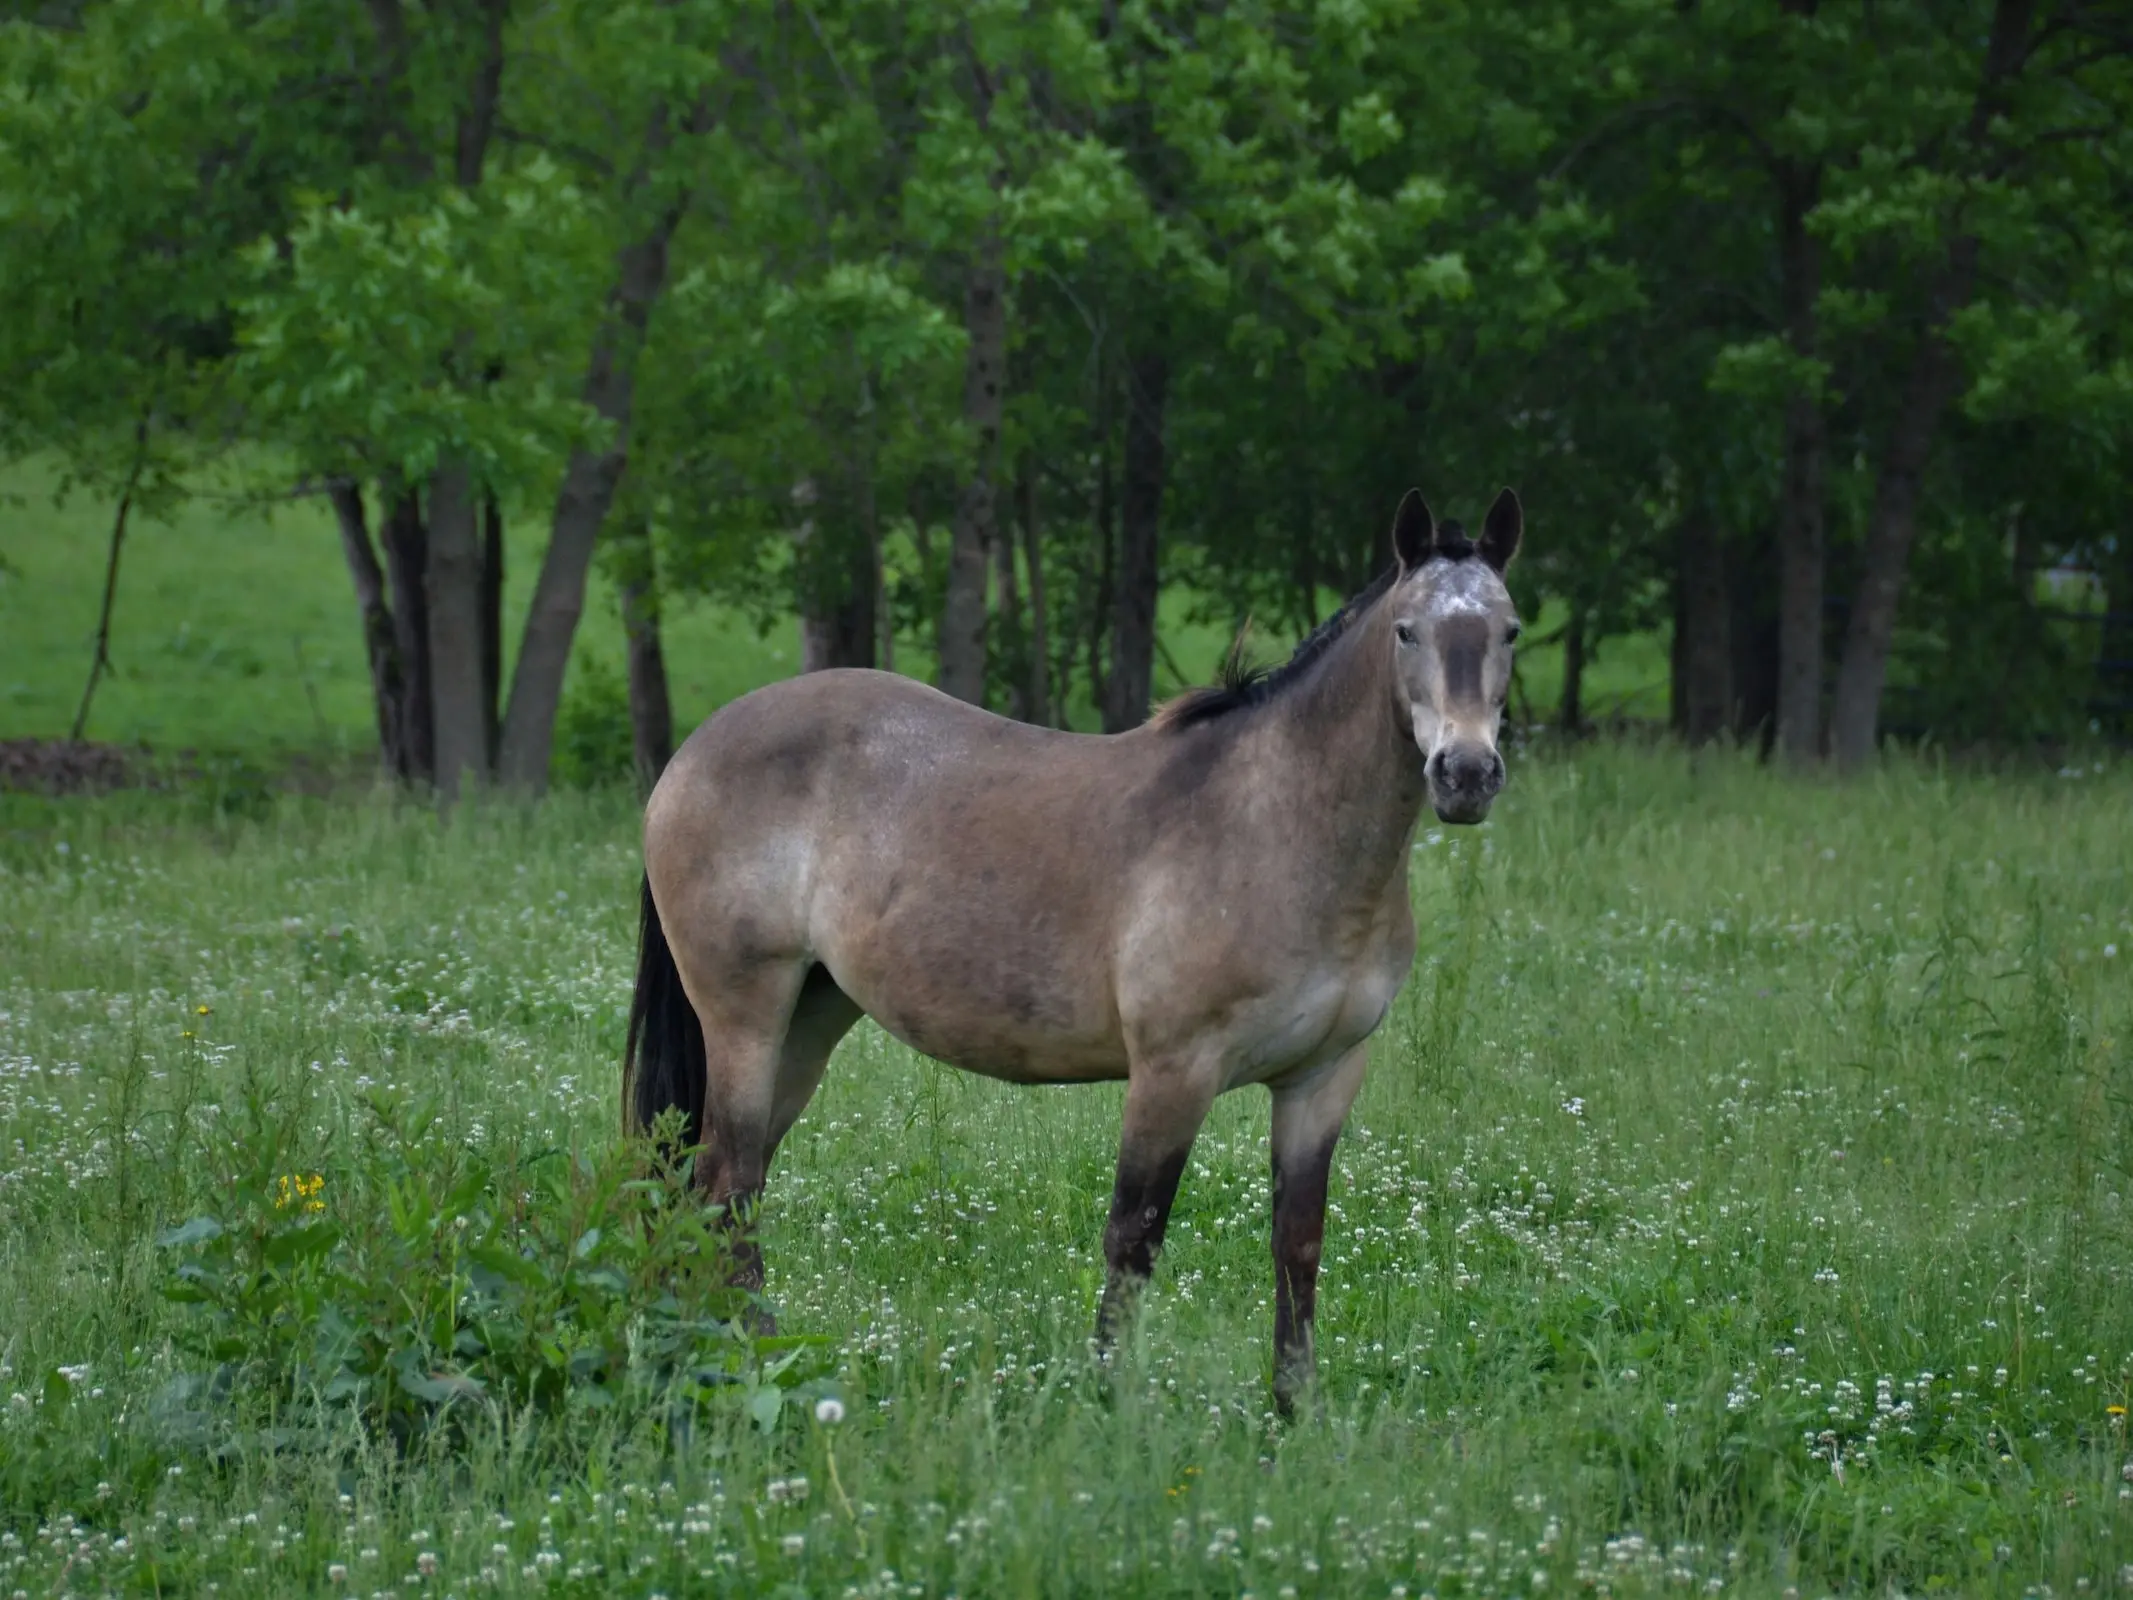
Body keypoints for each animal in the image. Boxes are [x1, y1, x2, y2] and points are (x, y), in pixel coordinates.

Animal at [622, 488, 1527, 1416]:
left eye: (1510, 631)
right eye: (1406, 632)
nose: (1464, 774)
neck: (1276, 826)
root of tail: (693, 752)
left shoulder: (1323, 1078)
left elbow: (1297, 1244)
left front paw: (1293, 1412)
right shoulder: (1173, 1072)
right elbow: (1133, 1239)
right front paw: (1108, 1404)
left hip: (807, 1021)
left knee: (715, 1188)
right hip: (745, 1018)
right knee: (725, 1186)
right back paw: (756, 1363)